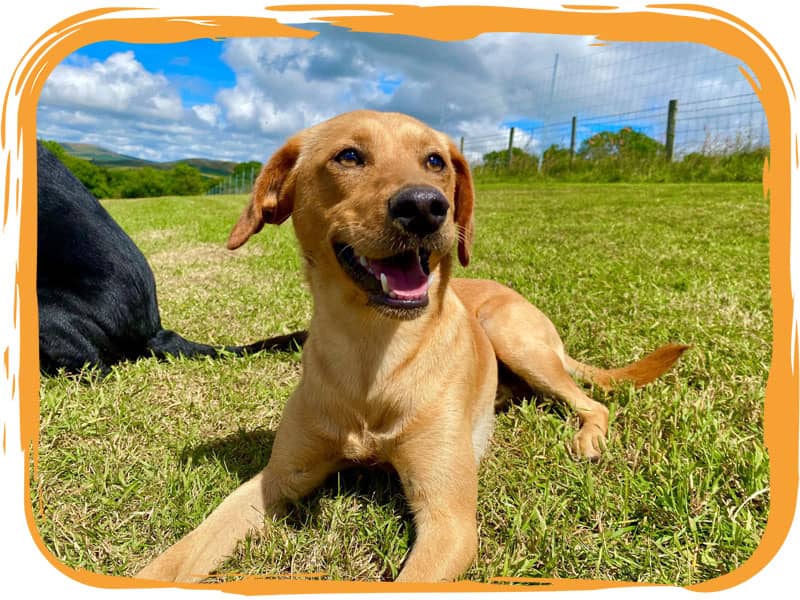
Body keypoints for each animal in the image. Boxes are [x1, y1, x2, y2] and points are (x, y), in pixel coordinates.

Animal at [138, 111, 688, 580]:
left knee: (592, 401)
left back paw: (588, 438)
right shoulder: (276, 479)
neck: (373, 356)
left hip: (514, 337)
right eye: (349, 156)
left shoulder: (448, 518)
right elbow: (182, 552)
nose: (425, 207)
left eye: (436, 161)